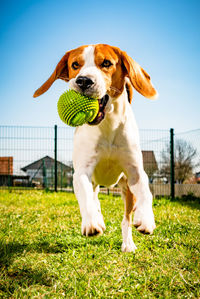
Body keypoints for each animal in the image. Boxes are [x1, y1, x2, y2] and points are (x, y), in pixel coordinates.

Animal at [34, 43, 158, 252]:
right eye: (75, 65)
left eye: (106, 63)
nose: (83, 81)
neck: (107, 125)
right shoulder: (82, 172)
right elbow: (86, 196)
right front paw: (92, 223)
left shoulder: (135, 171)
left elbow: (146, 192)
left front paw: (146, 219)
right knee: (94, 198)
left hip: (126, 189)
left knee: (126, 218)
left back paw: (128, 243)